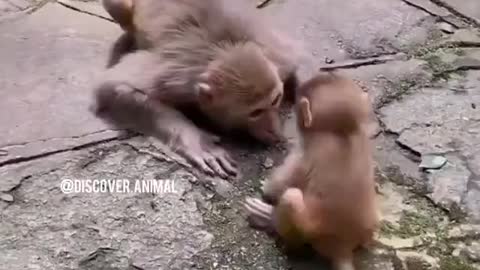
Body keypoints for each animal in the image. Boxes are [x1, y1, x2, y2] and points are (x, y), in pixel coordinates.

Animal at [91, 0, 298, 178]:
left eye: (276, 100)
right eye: (255, 112)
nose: (274, 130)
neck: (224, 49)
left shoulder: (278, 59)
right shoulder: (175, 79)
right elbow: (112, 86)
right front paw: (198, 142)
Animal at [244, 72, 378, 270]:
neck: (341, 131)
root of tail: (343, 247)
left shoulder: (302, 154)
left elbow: (277, 185)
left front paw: (266, 189)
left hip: (310, 232)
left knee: (291, 197)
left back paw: (269, 219)